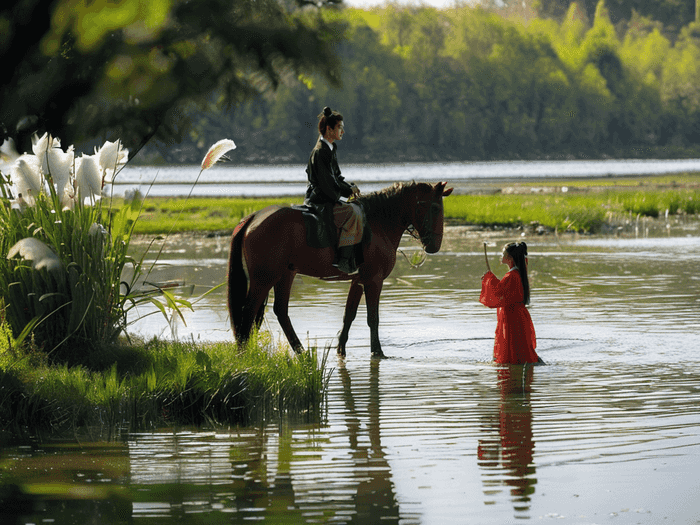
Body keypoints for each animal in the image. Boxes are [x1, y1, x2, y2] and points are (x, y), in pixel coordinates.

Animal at [227, 180, 452, 356]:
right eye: (435, 208)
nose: (434, 246)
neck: (378, 222)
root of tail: (254, 218)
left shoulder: (358, 280)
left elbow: (349, 315)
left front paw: (340, 349)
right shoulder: (374, 280)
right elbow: (373, 318)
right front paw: (377, 351)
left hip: (285, 275)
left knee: (280, 311)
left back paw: (301, 352)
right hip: (264, 279)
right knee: (248, 312)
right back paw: (245, 353)